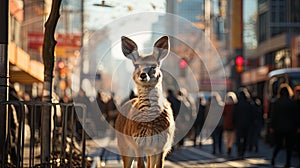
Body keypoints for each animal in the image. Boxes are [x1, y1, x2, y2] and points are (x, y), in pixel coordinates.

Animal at [115, 35, 176, 168]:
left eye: (154, 66)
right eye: (136, 65)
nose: (143, 75)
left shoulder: (162, 145)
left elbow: (158, 166)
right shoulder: (138, 143)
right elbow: (140, 165)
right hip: (124, 146)